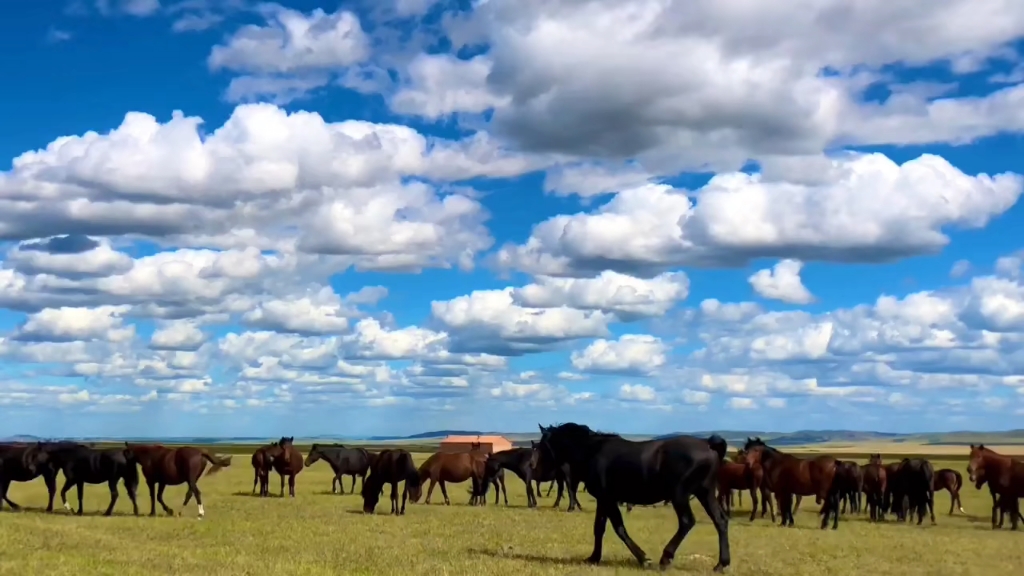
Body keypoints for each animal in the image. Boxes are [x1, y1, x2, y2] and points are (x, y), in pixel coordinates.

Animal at [536, 420, 729, 569]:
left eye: (542, 446)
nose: (536, 469)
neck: (591, 451)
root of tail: (708, 444)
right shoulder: (603, 500)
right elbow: (599, 528)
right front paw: (593, 558)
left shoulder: (608, 499)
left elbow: (619, 528)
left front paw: (643, 558)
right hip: (705, 493)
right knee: (720, 521)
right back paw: (721, 564)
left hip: (680, 495)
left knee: (687, 522)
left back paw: (666, 558)